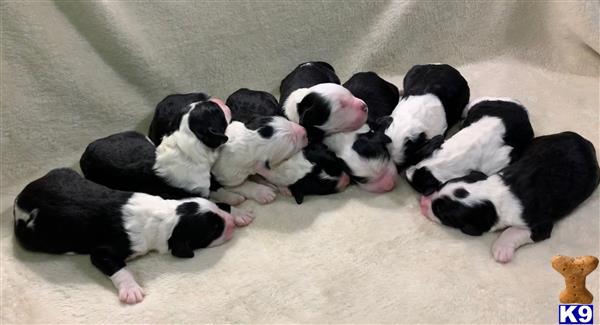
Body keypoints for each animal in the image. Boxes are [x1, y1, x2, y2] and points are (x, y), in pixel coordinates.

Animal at [13, 168, 253, 302]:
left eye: (219, 218)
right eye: (214, 229)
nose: (230, 224)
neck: (163, 217)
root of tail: (21, 198)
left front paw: (240, 213)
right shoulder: (104, 251)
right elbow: (118, 268)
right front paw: (132, 291)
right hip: (31, 236)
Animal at [418, 132, 600, 264]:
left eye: (441, 212)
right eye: (440, 187)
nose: (422, 202)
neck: (493, 193)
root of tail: (586, 142)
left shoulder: (541, 225)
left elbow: (512, 231)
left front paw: (501, 250)